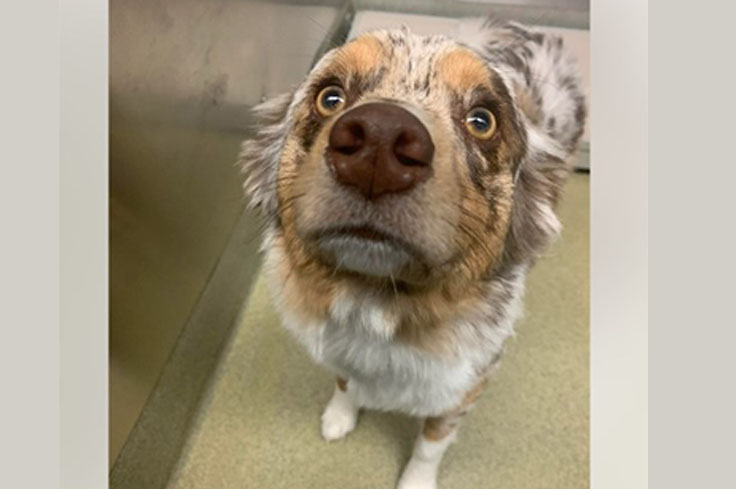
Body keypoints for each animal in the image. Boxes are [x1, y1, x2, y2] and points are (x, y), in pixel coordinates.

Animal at [239, 18, 585, 489]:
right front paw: (339, 417)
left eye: (482, 120)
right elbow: (345, 384)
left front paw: (416, 480)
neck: (377, 305)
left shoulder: (463, 391)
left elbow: (429, 445)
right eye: (330, 97)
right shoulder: (341, 352)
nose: (379, 141)